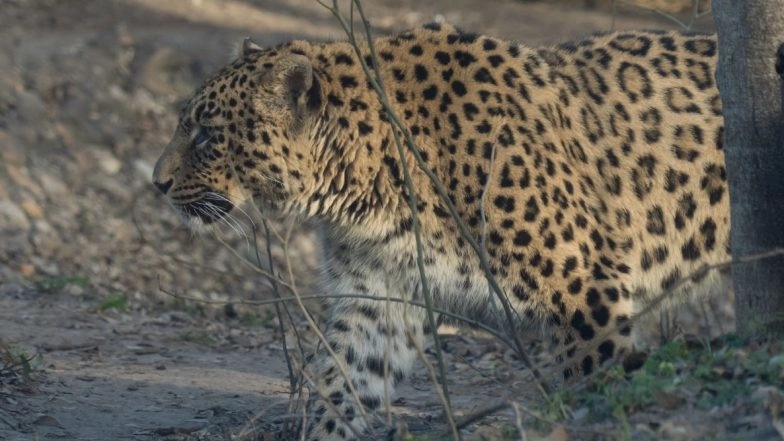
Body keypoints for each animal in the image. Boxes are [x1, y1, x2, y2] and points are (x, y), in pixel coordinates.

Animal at [153, 22, 730, 441]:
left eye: (207, 134)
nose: (156, 183)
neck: (368, 188)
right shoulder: (376, 296)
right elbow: (341, 382)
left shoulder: (584, 291)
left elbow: (596, 379)